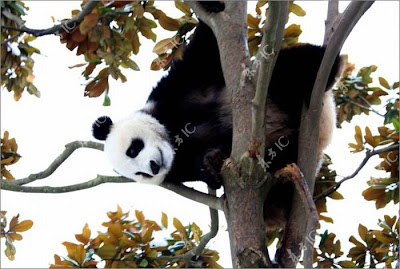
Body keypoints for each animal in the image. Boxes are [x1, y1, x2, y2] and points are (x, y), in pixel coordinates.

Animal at [91, 7, 344, 228]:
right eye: (139, 174)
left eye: (133, 149)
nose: (153, 167)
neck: (173, 137)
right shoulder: (176, 169)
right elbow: (197, 167)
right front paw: (209, 166)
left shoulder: (172, 94)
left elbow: (201, 54)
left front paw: (211, 7)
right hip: (286, 149)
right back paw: (273, 208)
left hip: (277, 90)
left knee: (292, 67)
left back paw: (328, 68)